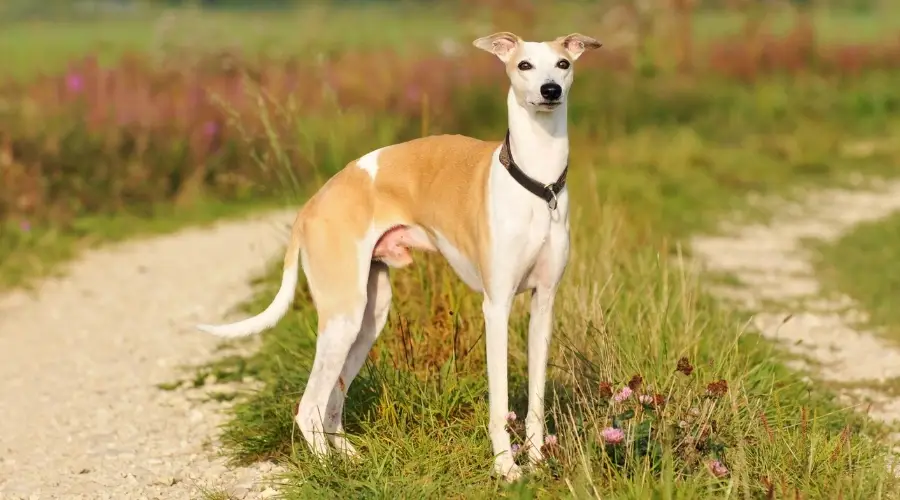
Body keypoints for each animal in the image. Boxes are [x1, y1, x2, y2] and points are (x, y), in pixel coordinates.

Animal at [200, 31, 600, 480]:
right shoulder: (496, 306)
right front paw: (507, 469)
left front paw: (537, 462)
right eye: (524, 65)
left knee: (332, 403)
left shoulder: (543, 303)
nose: (550, 91)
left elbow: (536, 398)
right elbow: (499, 404)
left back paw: (351, 459)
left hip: (369, 317)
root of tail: (311, 205)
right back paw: (334, 472)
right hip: (343, 316)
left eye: (563, 64)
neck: (537, 184)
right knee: (309, 406)